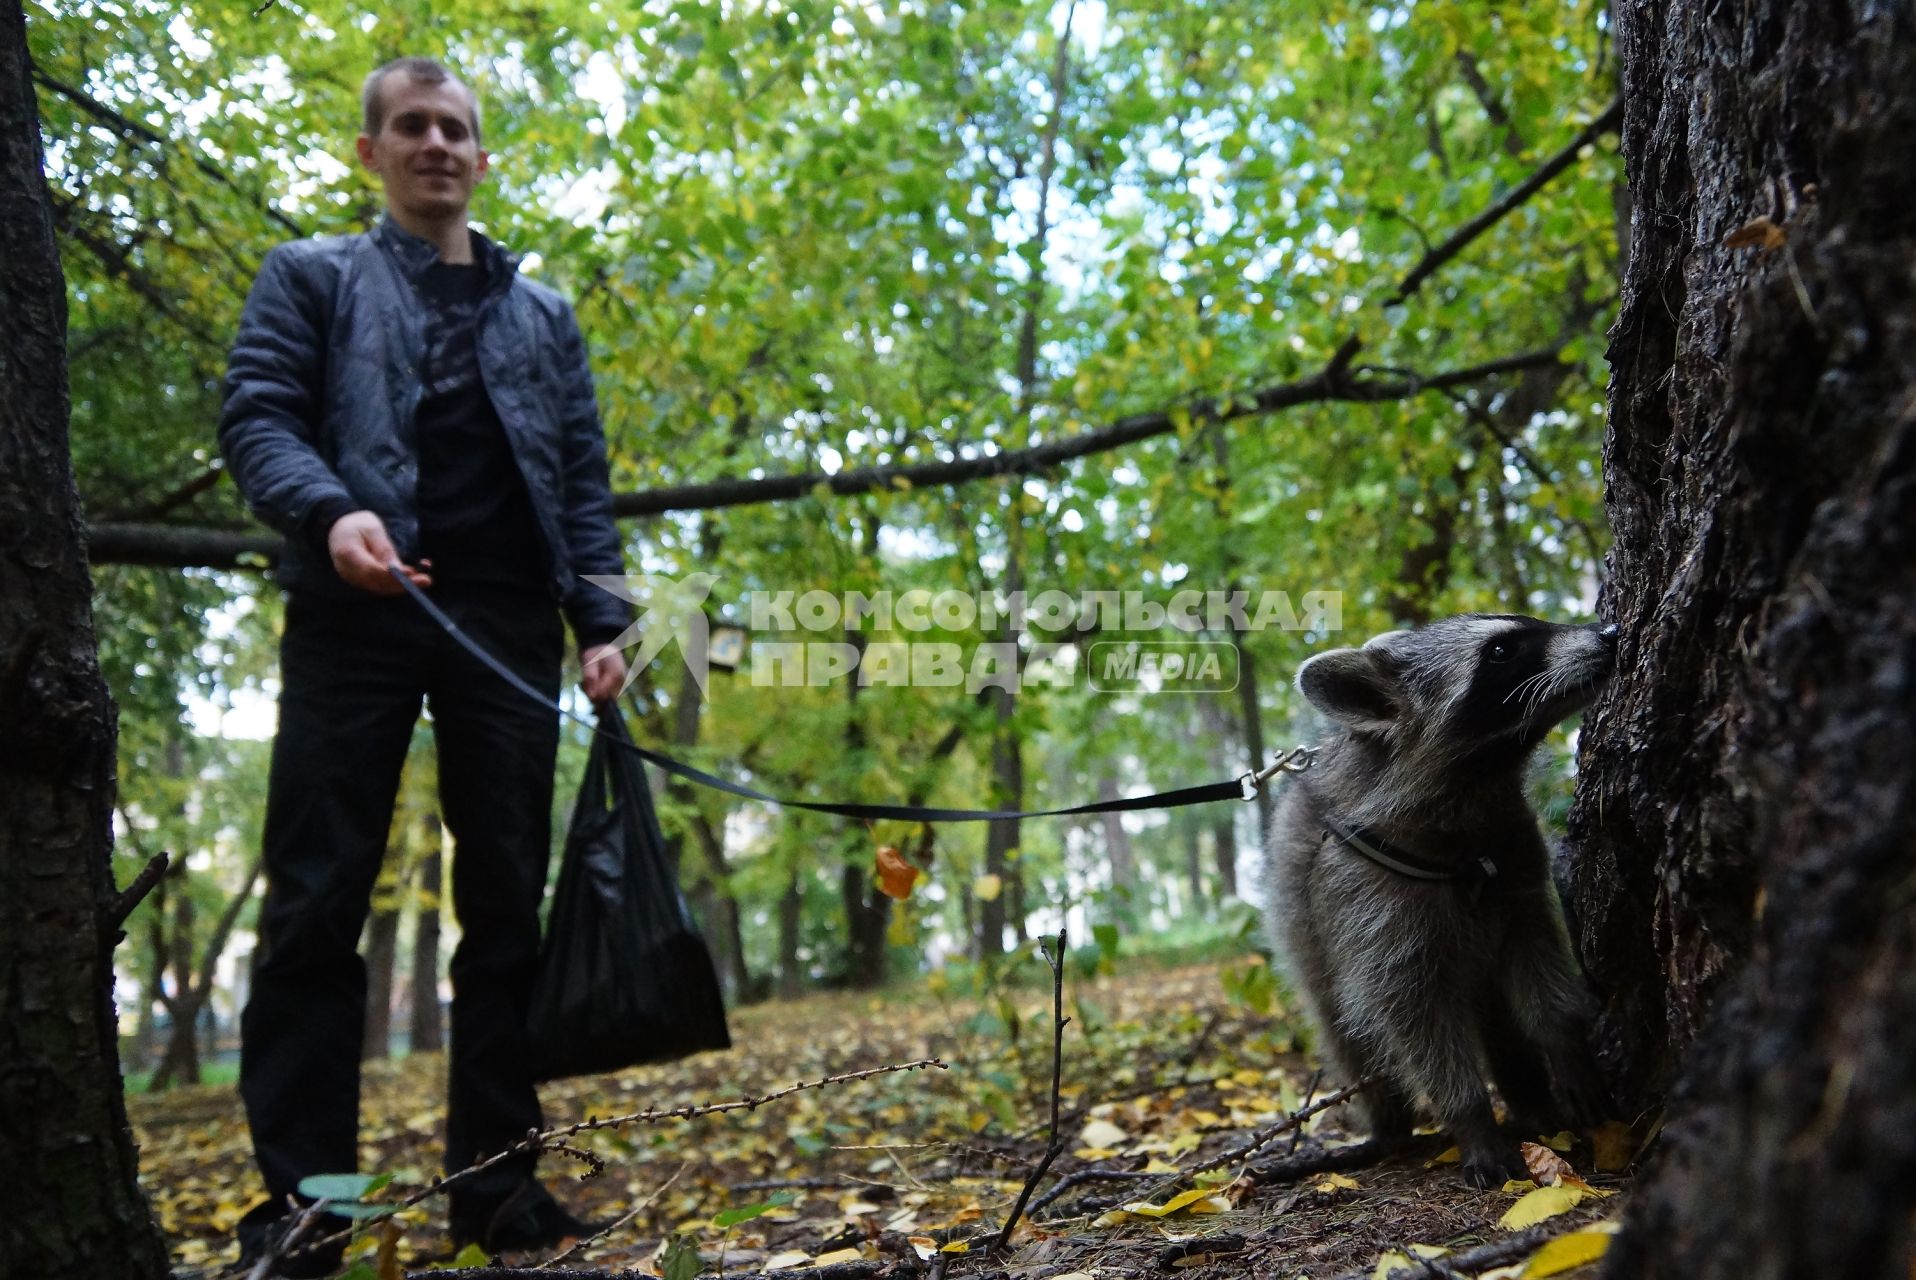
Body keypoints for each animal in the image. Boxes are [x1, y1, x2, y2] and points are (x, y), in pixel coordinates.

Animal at [1272, 613, 1617, 1188]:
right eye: (1501, 651)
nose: (1610, 632)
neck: (1483, 774)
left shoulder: (1516, 863)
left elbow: (1541, 970)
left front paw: (1565, 1046)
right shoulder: (1368, 903)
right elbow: (1413, 1016)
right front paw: (1471, 1117)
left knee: (1499, 1015)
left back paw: (1531, 1098)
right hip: (1305, 930)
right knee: (1346, 1034)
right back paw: (1388, 1128)